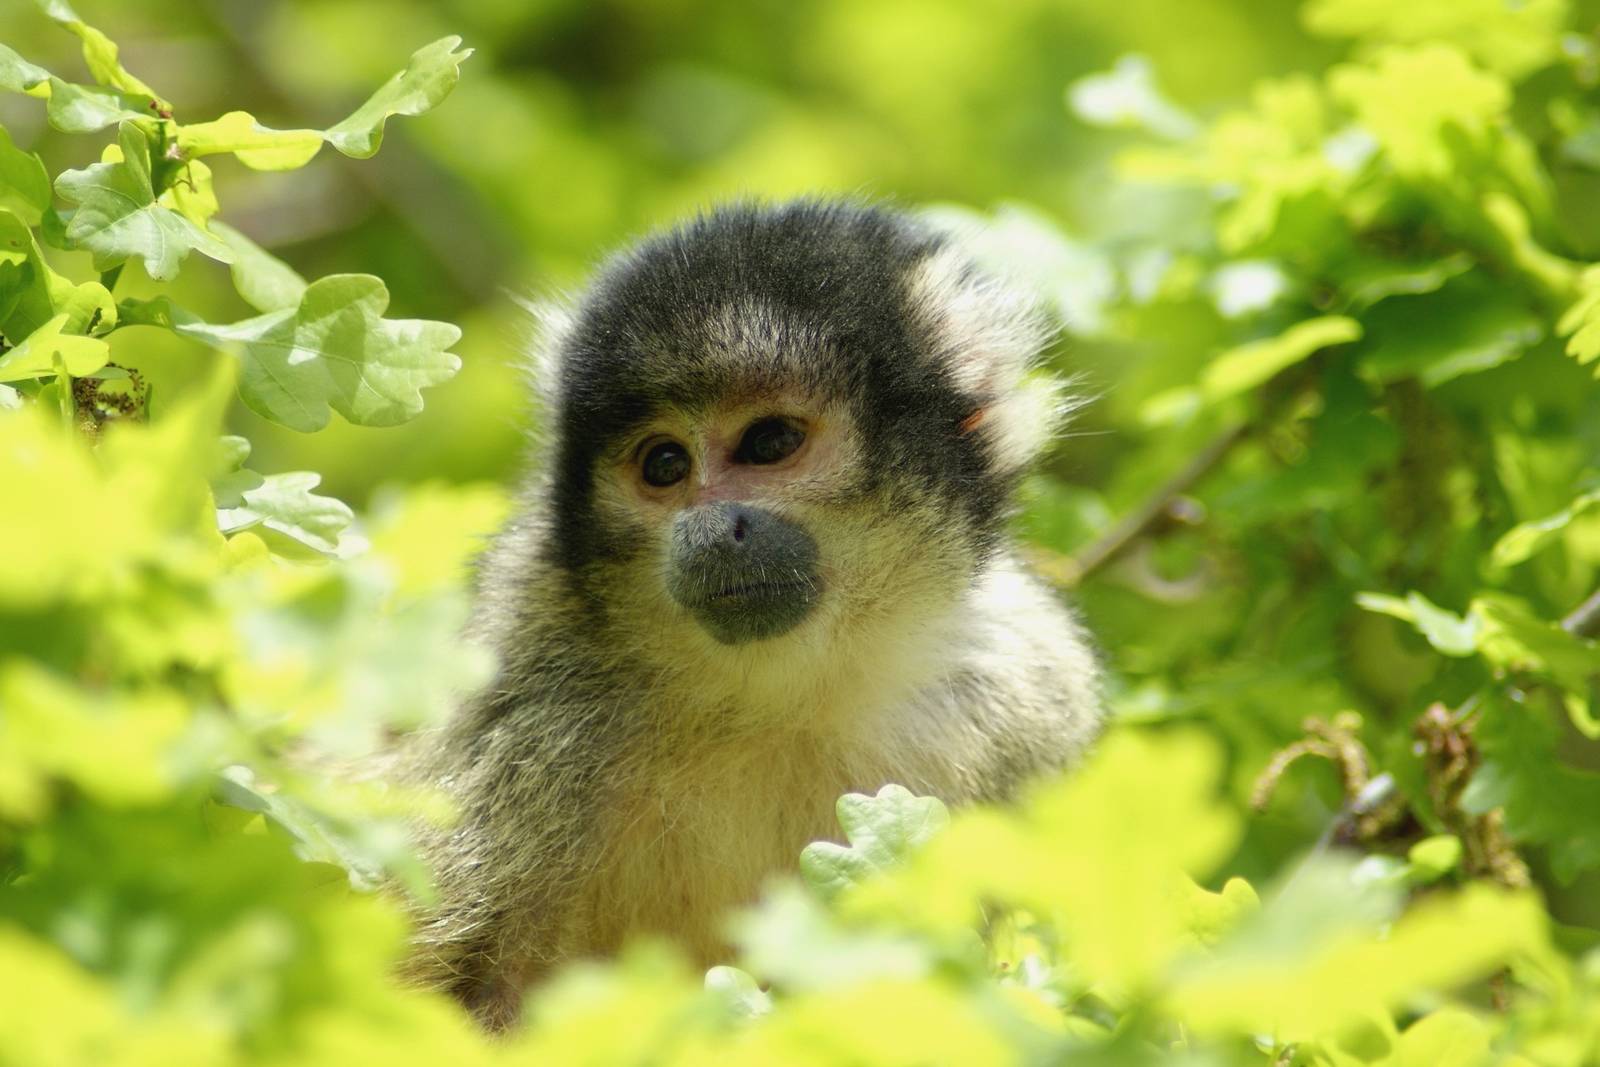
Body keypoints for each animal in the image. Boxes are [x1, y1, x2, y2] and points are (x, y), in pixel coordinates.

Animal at [399, 198, 1103, 1030]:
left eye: (769, 442)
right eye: (664, 464)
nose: (709, 530)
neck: (789, 689)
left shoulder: (1031, 681)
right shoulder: (532, 670)